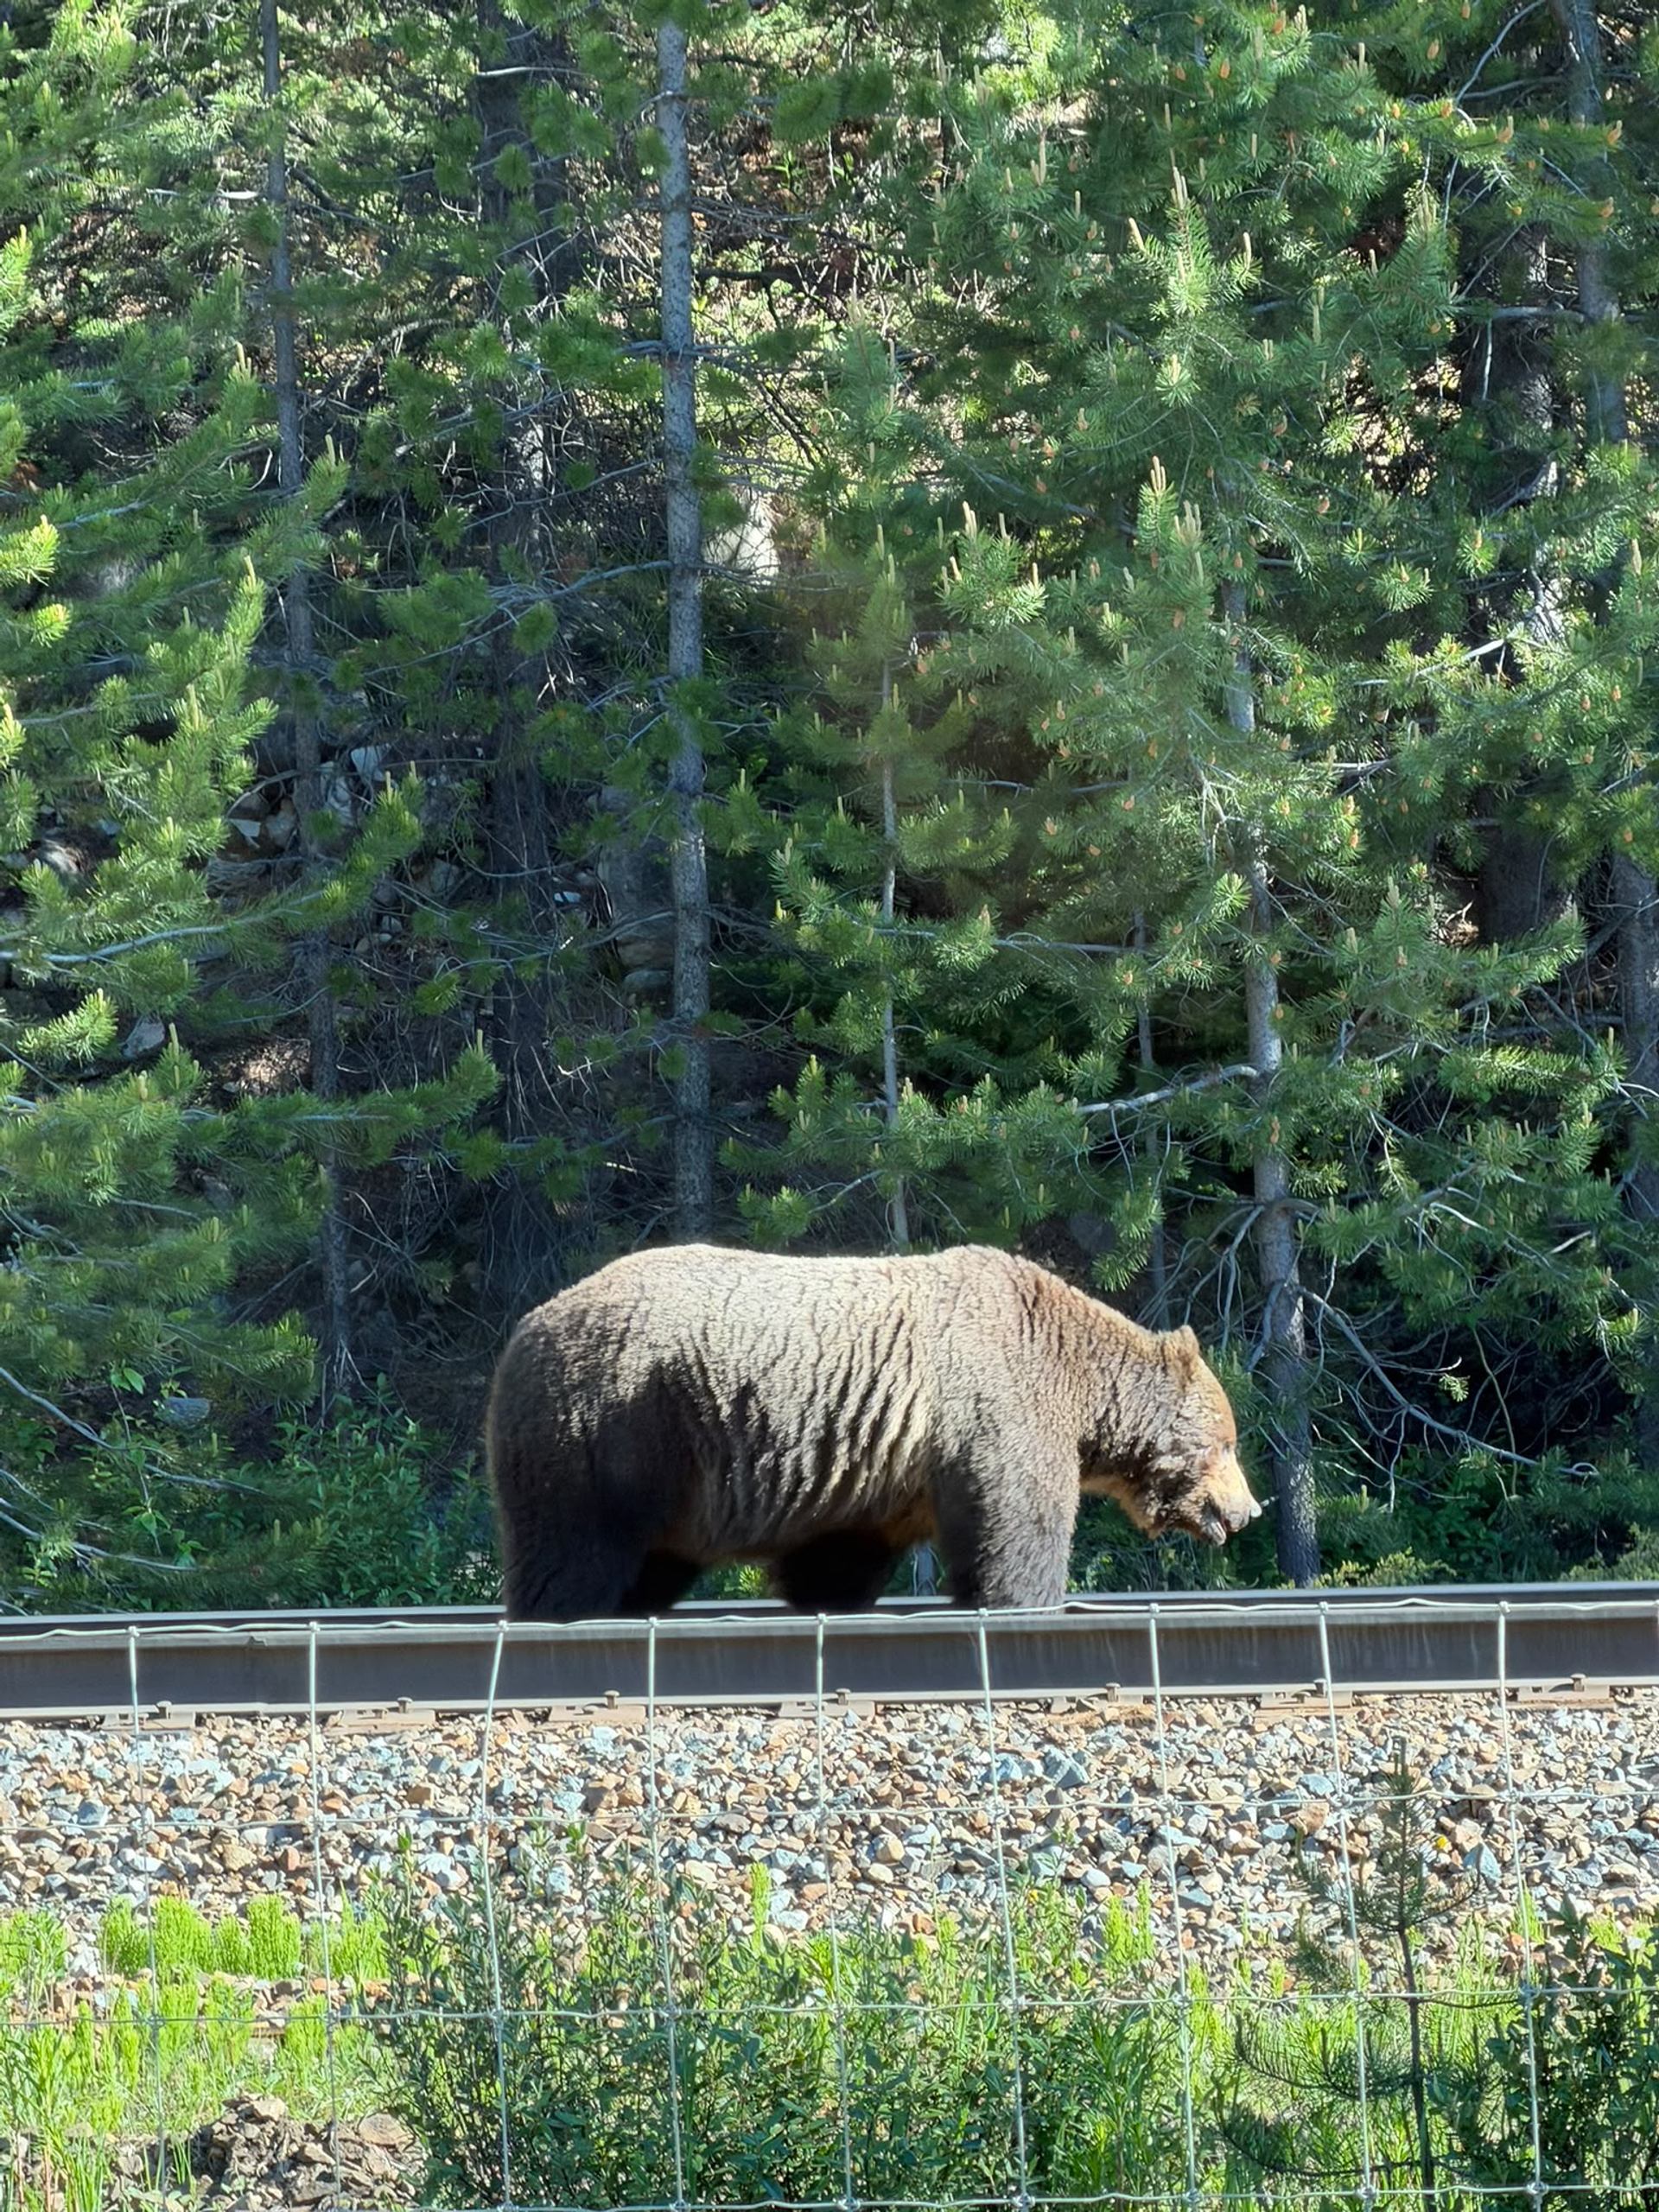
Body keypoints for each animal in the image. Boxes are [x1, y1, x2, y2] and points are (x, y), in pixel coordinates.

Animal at [485, 1241, 1261, 1620]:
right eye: (1227, 1442)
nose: (1247, 1509)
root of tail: (524, 1328)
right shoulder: (1001, 1408)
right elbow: (1018, 1519)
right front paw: (1031, 1599)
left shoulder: (873, 1466)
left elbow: (839, 1550)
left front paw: (828, 1596)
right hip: (617, 1424)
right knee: (576, 1544)